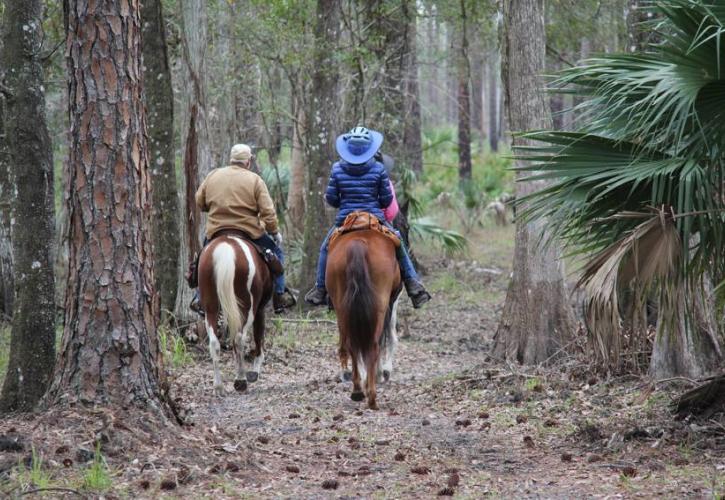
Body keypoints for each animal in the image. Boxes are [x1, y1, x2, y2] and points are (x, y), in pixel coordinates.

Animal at [198, 232, 272, 396]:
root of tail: (225, 249)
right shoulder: (260, 308)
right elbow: (258, 335)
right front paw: (255, 371)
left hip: (211, 305)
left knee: (214, 342)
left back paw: (218, 386)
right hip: (247, 305)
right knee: (239, 338)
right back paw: (241, 380)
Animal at [326, 230, 402, 410]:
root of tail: (358, 243)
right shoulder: (392, 302)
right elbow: (389, 337)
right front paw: (382, 372)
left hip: (342, 307)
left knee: (352, 344)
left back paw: (357, 390)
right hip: (380, 306)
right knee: (373, 345)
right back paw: (371, 395)